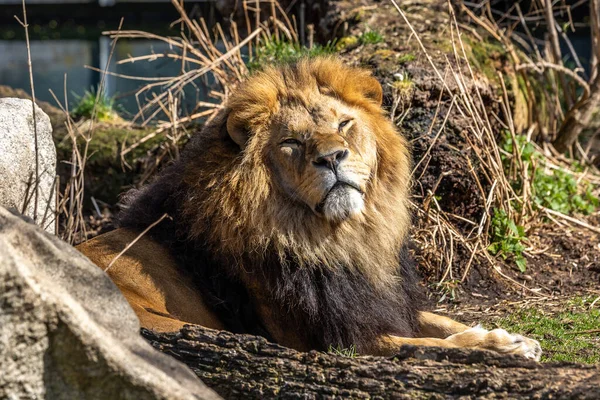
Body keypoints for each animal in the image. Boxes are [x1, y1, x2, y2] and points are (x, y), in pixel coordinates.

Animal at [77, 56, 540, 360]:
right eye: (292, 143)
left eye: (344, 124)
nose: (331, 158)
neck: (336, 239)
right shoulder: (340, 340)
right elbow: (428, 347)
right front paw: (502, 349)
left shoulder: (378, 304)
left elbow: (441, 322)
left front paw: (510, 337)